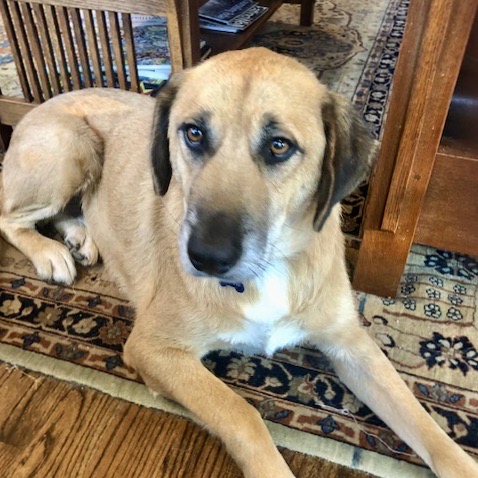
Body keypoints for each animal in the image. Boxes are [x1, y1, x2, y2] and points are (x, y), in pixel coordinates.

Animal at [0, 49, 478, 478]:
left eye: (279, 146)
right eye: (193, 133)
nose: (206, 257)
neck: (272, 268)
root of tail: (44, 102)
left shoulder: (350, 343)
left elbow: (423, 421)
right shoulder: (153, 349)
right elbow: (242, 412)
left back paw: (79, 236)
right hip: (72, 147)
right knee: (10, 217)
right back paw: (51, 252)